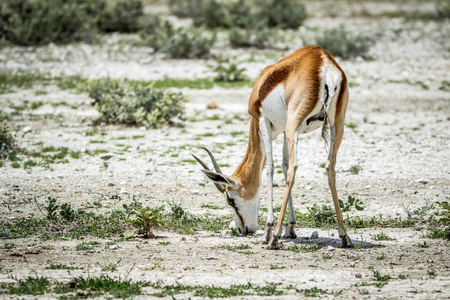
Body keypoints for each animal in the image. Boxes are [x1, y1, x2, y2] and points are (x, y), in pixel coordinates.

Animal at [191, 45, 352, 250]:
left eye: (230, 200)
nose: (244, 230)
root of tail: (323, 61)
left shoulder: (263, 122)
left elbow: (270, 169)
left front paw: (268, 231)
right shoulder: (283, 130)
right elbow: (283, 165)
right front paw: (290, 228)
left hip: (295, 124)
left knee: (294, 168)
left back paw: (273, 238)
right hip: (335, 125)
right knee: (329, 167)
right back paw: (344, 236)